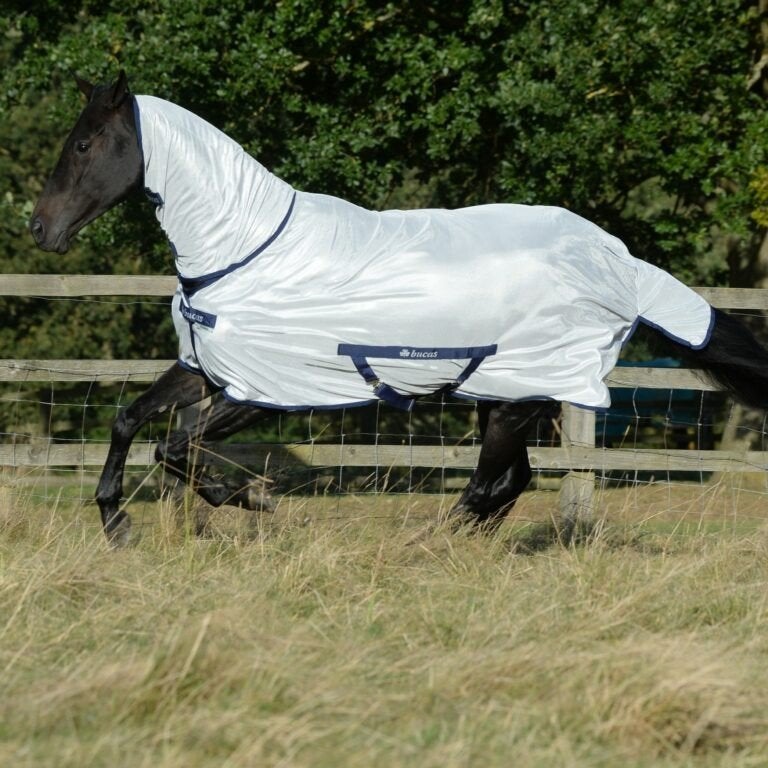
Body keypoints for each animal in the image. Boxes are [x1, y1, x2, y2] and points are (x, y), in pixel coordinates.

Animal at [30, 71, 768, 546]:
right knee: (509, 482)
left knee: (490, 484)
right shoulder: (205, 370)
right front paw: (117, 524)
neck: (246, 250)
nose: (39, 228)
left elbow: (177, 446)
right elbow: (132, 422)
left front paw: (255, 501)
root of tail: (617, 261)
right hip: (498, 396)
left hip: (517, 397)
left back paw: (423, 546)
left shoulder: (262, 390)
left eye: (84, 145)